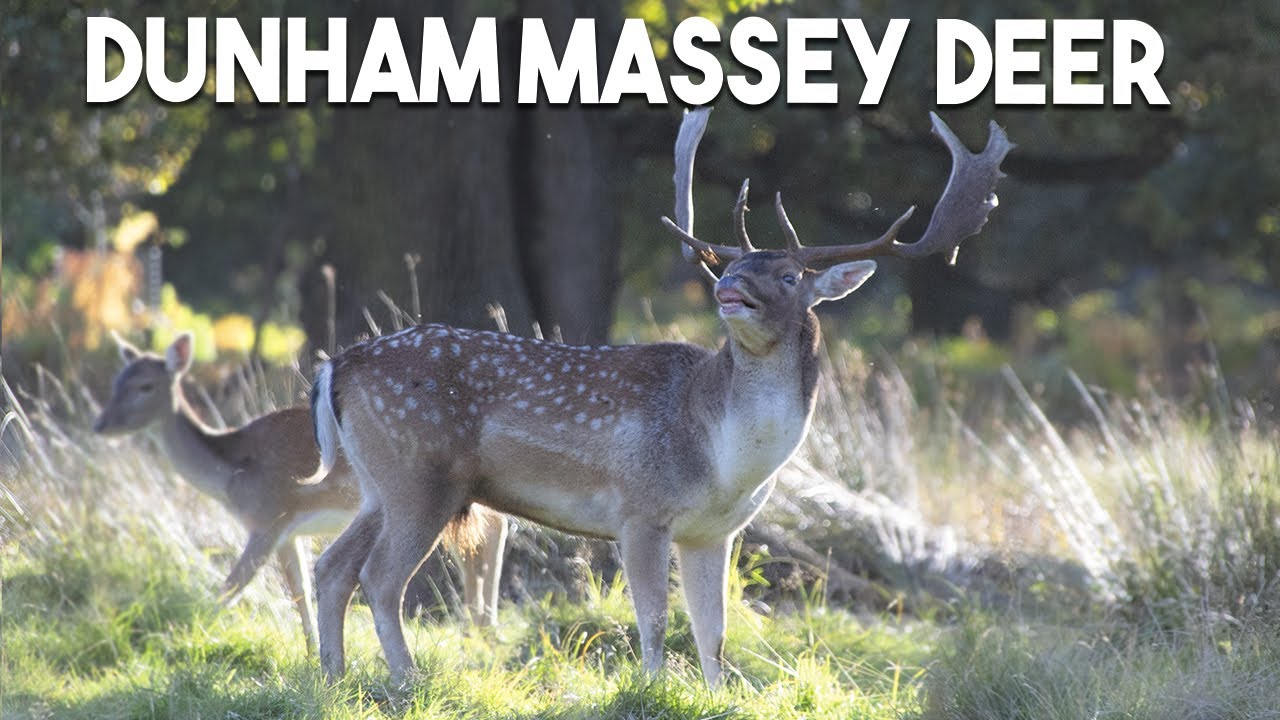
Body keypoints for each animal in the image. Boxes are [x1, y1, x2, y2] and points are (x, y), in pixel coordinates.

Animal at [93, 331, 509, 654]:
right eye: (115, 381)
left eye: (144, 386)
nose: (100, 424)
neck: (230, 471)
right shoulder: (289, 533)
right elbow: (301, 597)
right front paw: (311, 656)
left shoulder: (269, 519)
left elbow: (230, 588)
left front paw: (184, 639)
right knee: (491, 529)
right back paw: (482, 629)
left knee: (488, 532)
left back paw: (482, 629)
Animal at [309, 108, 1012, 687]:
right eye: (732, 265)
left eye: (789, 275)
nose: (729, 286)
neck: (725, 461)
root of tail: (336, 366)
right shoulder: (639, 509)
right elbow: (653, 619)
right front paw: (652, 689)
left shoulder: (714, 532)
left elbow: (715, 631)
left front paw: (717, 694)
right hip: (419, 476)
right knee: (379, 578)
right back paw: (406, 682)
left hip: (379, 484)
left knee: (332, 567)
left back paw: (333, 677)